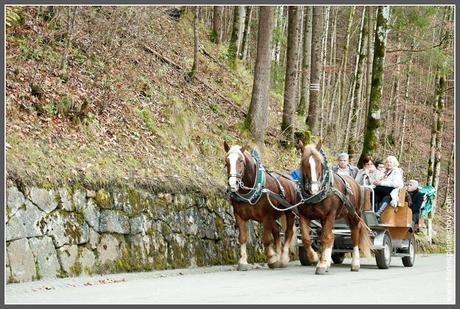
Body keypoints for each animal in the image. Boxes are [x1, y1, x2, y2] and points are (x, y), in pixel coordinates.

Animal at [294, 141, 374, 274]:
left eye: (319, 163)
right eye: (303, 163)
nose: (313, 188)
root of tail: (355, 182)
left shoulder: (330, 214)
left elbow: (325, 238)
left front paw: (321, 264)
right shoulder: (304, 216)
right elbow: (306, 239)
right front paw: (314, 257)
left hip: (353, 215)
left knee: (354, 236)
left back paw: (355, 264)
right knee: (331, 237)